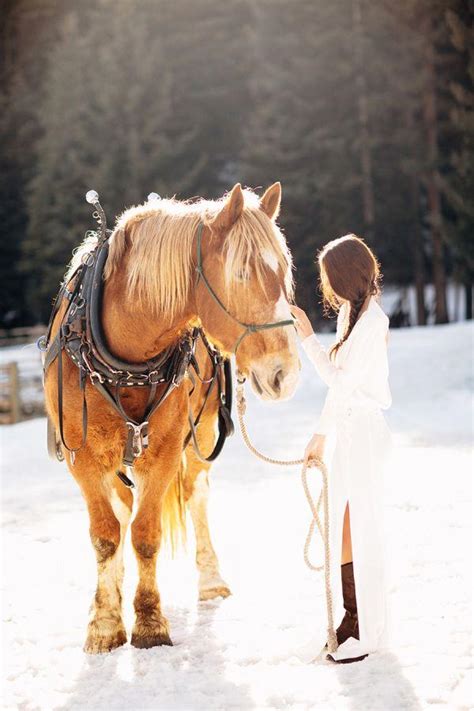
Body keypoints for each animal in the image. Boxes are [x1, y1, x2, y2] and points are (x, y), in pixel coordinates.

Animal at [42, 181, 298, 652]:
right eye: (241, 274)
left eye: (285, 273)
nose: (284, 374)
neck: (126, 355)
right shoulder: (83, 455)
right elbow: (106, 534)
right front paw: (104, 622)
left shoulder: (162, 450)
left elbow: (145, 534)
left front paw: (148, 622)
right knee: (120, 509)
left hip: (202, 432)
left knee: (196, 493)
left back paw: (210, 578)